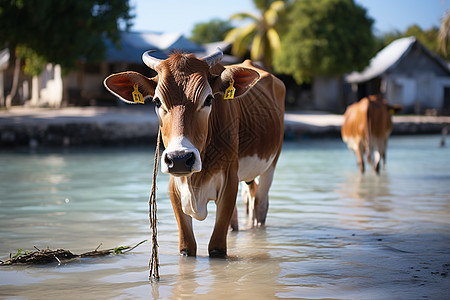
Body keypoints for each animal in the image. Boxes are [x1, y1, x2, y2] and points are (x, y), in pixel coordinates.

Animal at [104, 49, 284, 258]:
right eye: (157, 101)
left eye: (209, 99)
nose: (180, 159)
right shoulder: (175, 187)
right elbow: (187, 246)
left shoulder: (229, 181)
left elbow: (216, 247)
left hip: (271, 164)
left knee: (260, 205)